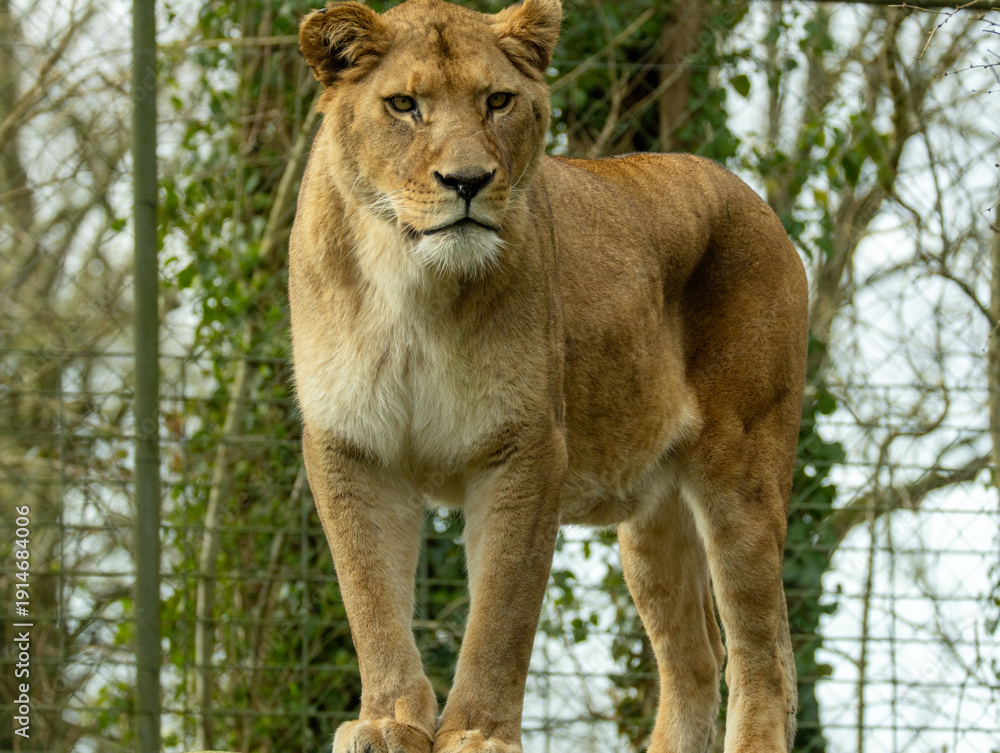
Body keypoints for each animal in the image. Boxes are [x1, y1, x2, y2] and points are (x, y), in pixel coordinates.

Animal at [289, 1, 806, 751]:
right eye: (404, 105)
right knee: (695, 659)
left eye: (497, 101)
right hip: (652, 520)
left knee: (760, 656)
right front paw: (389, 721)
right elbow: (371, 596)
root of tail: (759, 202)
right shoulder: (353, 445)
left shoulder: (526, 445)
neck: (411, 283)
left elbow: (500, 612)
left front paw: (477, 733)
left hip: (743, 470)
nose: (468, 182)